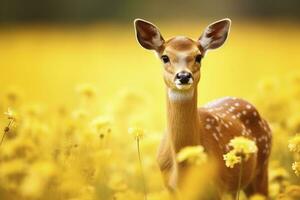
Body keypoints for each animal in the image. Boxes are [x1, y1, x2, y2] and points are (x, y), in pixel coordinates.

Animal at [134, 17, 272, 198]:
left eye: (198, 57)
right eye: (165, 57)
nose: (183, 76)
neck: (183, 170)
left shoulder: (217, 187)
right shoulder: (170, 189)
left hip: (262, 168)